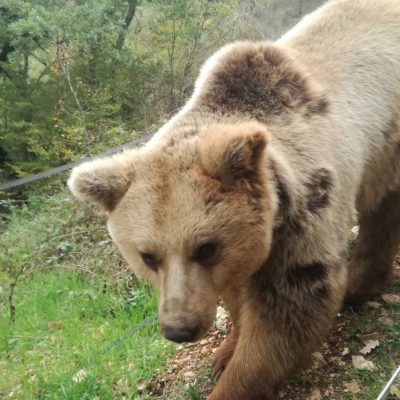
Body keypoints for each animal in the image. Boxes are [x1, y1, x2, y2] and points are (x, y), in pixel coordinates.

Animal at [68, 0, 400, 398]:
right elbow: (238, 292)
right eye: (147, 256)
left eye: (205, 247)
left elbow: (289, 311)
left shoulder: (305, 210)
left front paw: (232, 377)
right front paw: (225, 352)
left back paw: (358, 284)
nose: (179, 329)